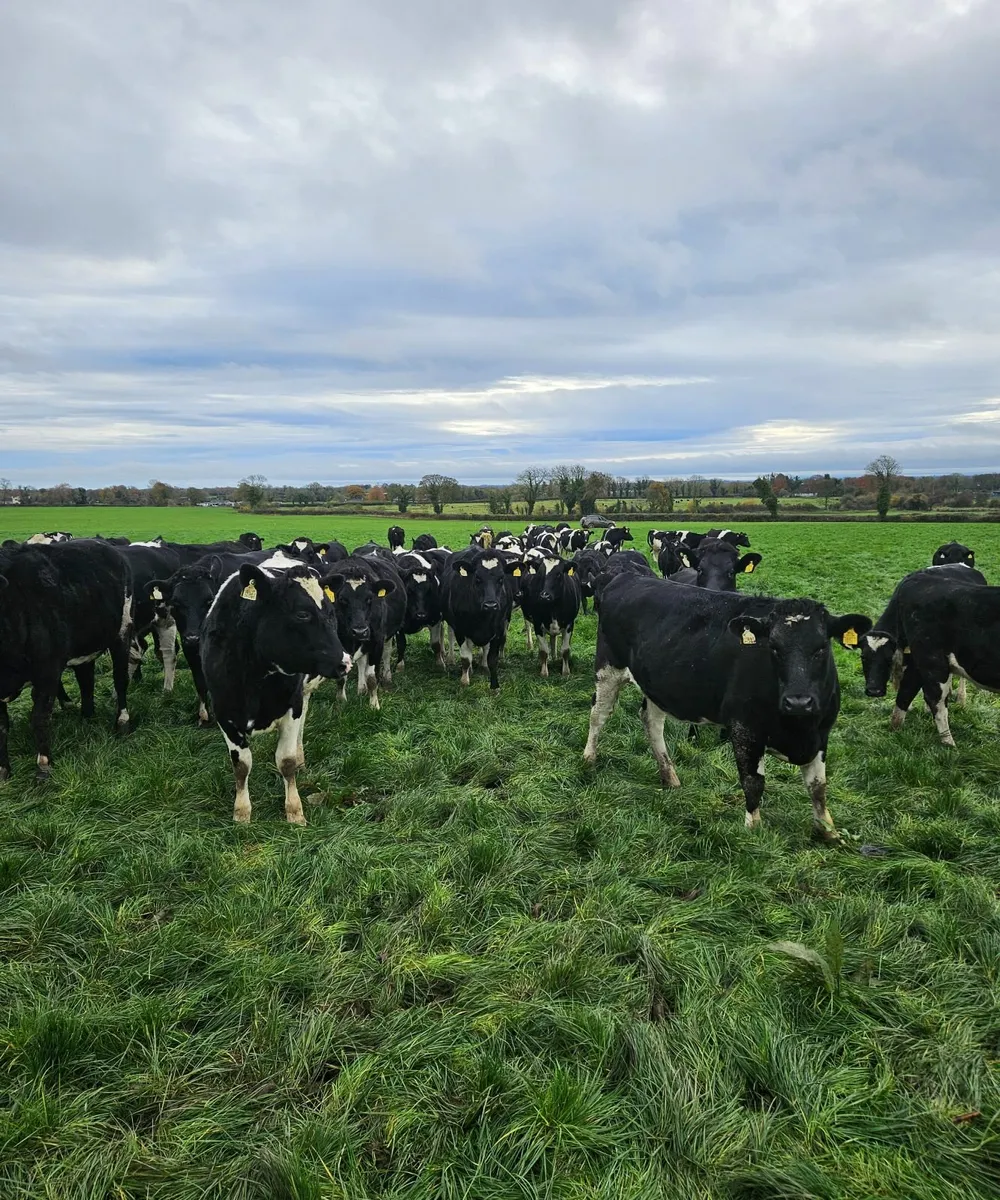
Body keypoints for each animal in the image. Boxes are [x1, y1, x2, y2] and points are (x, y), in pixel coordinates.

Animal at [0, 540, 132, 782]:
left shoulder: (48, 671)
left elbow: (39, 718)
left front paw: (43, 767)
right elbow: (2, 726)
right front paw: (3, 770)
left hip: (122, 631)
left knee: (120, 679)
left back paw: (122, 722)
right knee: (86, 680)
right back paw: (87, 715)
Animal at [200, 558, 352, 824]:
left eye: (331, 613)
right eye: (302, 614)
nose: (345, 662)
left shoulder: (292, 707)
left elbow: (286, 761)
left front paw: (295, 811)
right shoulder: (224, 714)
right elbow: (241, 765)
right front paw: (241, 813)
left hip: (303, 695)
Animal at [323, 555, 405, 709]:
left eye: (369, 598)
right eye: (342, 599)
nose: (360, 631)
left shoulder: (377, 641)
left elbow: (372, 677)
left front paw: (374, 705)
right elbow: (342, 677)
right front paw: (341, 702)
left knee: (387, 653)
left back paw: (387, 677)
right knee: (362, 662)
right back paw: (361, 688)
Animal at [442, 548, 519, 689]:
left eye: (501, 578)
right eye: (477, 578)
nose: (491, 605)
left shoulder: (498, 629)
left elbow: (492, 659)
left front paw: (494, 686)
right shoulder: (460, 630)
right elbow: (466, 658)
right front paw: (464, 681)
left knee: (485, 648)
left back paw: (483, 665)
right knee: (453, 638)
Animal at [583, 572, 870, 840]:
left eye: (821, 648)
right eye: (773, 648)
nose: (798, 701)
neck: (798, 729)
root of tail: (627, 577)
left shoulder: (821, 734)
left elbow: (818, 786)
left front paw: (827, 831)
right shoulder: (745, 728)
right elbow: (753, 782)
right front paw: (754, 831)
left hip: (656, 683)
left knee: (651, 722)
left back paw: (669, 775)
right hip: (608, 667)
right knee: (599, 714)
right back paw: (589, 758)